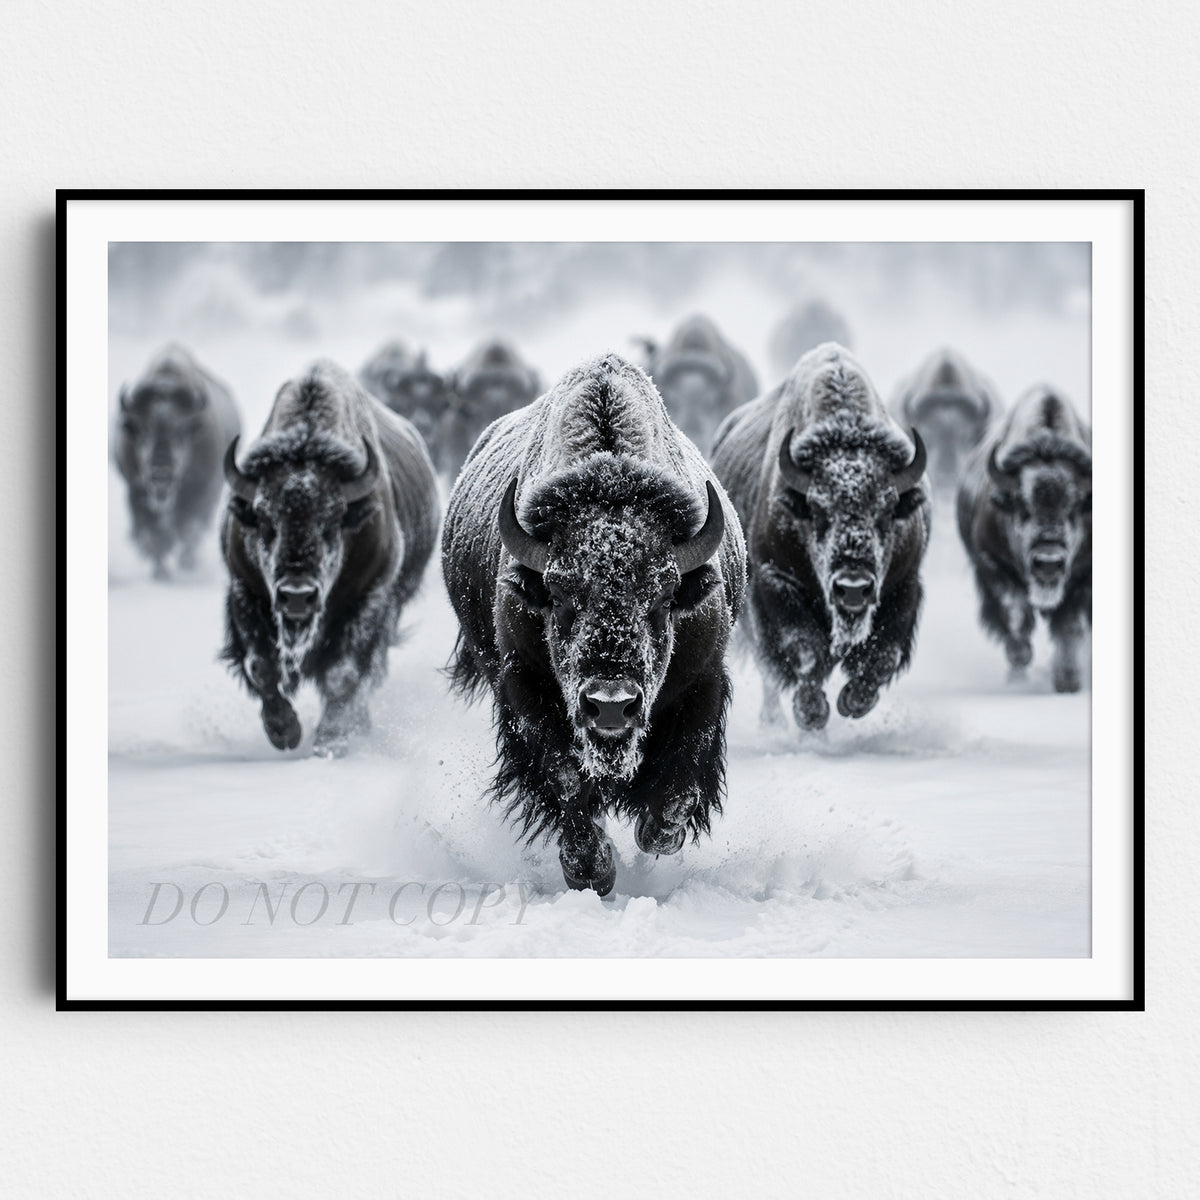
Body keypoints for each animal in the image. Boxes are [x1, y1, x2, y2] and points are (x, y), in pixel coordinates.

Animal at [113, 345, 241, 579]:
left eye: (181, 432)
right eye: (143, 431)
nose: (161, 472)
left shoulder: (201, 490)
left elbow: (188, 527)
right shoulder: (136, 490)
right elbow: (153, 534)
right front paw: (160, 571)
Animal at [221, 361, 440, 757]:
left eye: (334, 518)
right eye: (263, 518)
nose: (297, 595)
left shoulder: (370, 597)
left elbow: (344, 672)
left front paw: (330, 740)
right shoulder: (244, 590)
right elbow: (260, 665)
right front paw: (285, 733)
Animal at [442, 353, 746, 896]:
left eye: (664, 596)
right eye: (561, 594)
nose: (610, 705)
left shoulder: (704, 683)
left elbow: (678, 788)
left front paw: (652, 838)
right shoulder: (523, 687)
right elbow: (563, 780)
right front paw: (593, 872)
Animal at [712, 343, 930, 730]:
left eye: (888, 509)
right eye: (816, 510)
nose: (853, 587)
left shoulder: (905, 583)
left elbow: (883, 656)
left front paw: (852, 702)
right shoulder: (775, 582)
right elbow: (804, 650)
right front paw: (812, 714)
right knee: (770, 672)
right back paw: (775, 721)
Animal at [956, 384, 1091, 692]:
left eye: (1074, 507)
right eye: (1022, 506)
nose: (1049, 563)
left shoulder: (1083, 578)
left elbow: (1069, 626)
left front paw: (1068, 680)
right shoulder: (992, 565)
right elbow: (1016, 616)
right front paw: (1020, 667)